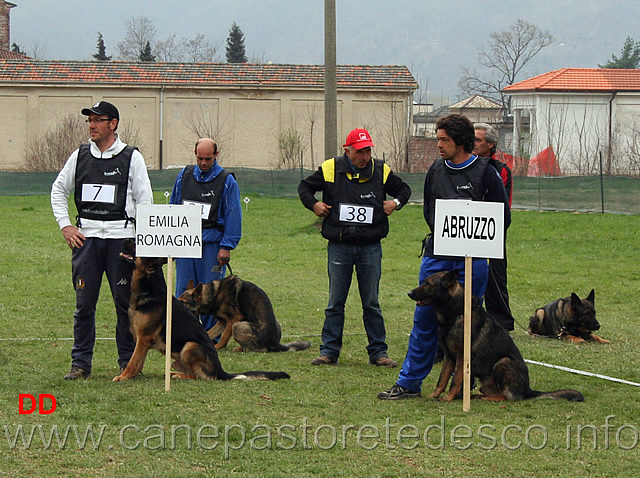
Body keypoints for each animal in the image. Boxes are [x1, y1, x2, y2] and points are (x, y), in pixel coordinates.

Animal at [113, 243, 290, 380]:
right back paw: (171, 373)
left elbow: (133, 361)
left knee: (199, 376)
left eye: (136, 245)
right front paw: (132, 376)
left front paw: (123, 376)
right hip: (176, 359)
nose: (125, 239)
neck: (148, 290)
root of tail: (221, 371)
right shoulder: (143, 341)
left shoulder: (143, 339)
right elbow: (138, 362)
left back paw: (179, 376)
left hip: (190, 345)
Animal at [179, 276, 312, 352]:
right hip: (276, 323)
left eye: (183, 302)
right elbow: (209, 333)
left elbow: (224, 337)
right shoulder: (222, 322)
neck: (213, 294)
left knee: (262, 349)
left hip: (237, 325)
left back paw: (242, 348)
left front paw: (217, 348)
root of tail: (274, 343)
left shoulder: (234, 319)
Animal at [408, 270, 584, 402]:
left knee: (507, 397)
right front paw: (433, 396)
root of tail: (528, 390)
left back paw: (486, 398)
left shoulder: (461, 357)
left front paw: (448, 399)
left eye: (427, 283)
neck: (457, 313)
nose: (409, 293)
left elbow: (455, 380)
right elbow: (442, 379)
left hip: (503, 362)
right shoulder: (449, 357)